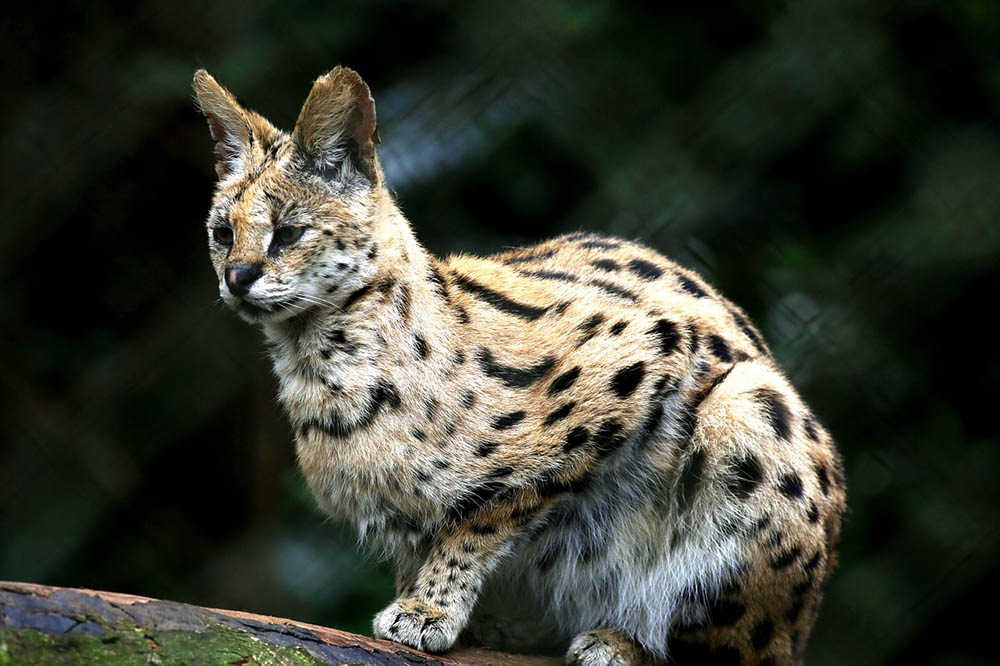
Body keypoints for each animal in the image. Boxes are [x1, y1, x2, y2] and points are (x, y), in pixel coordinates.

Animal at [193, 63, 844, 664]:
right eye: (223, 233)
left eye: (288, 234)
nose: (236, 278)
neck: (320, 360)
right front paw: (434, 607)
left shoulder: (642, 356)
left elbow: (487, 514)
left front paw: (429, 609)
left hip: (753, 409)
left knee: (745, 649)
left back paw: (622, 640)